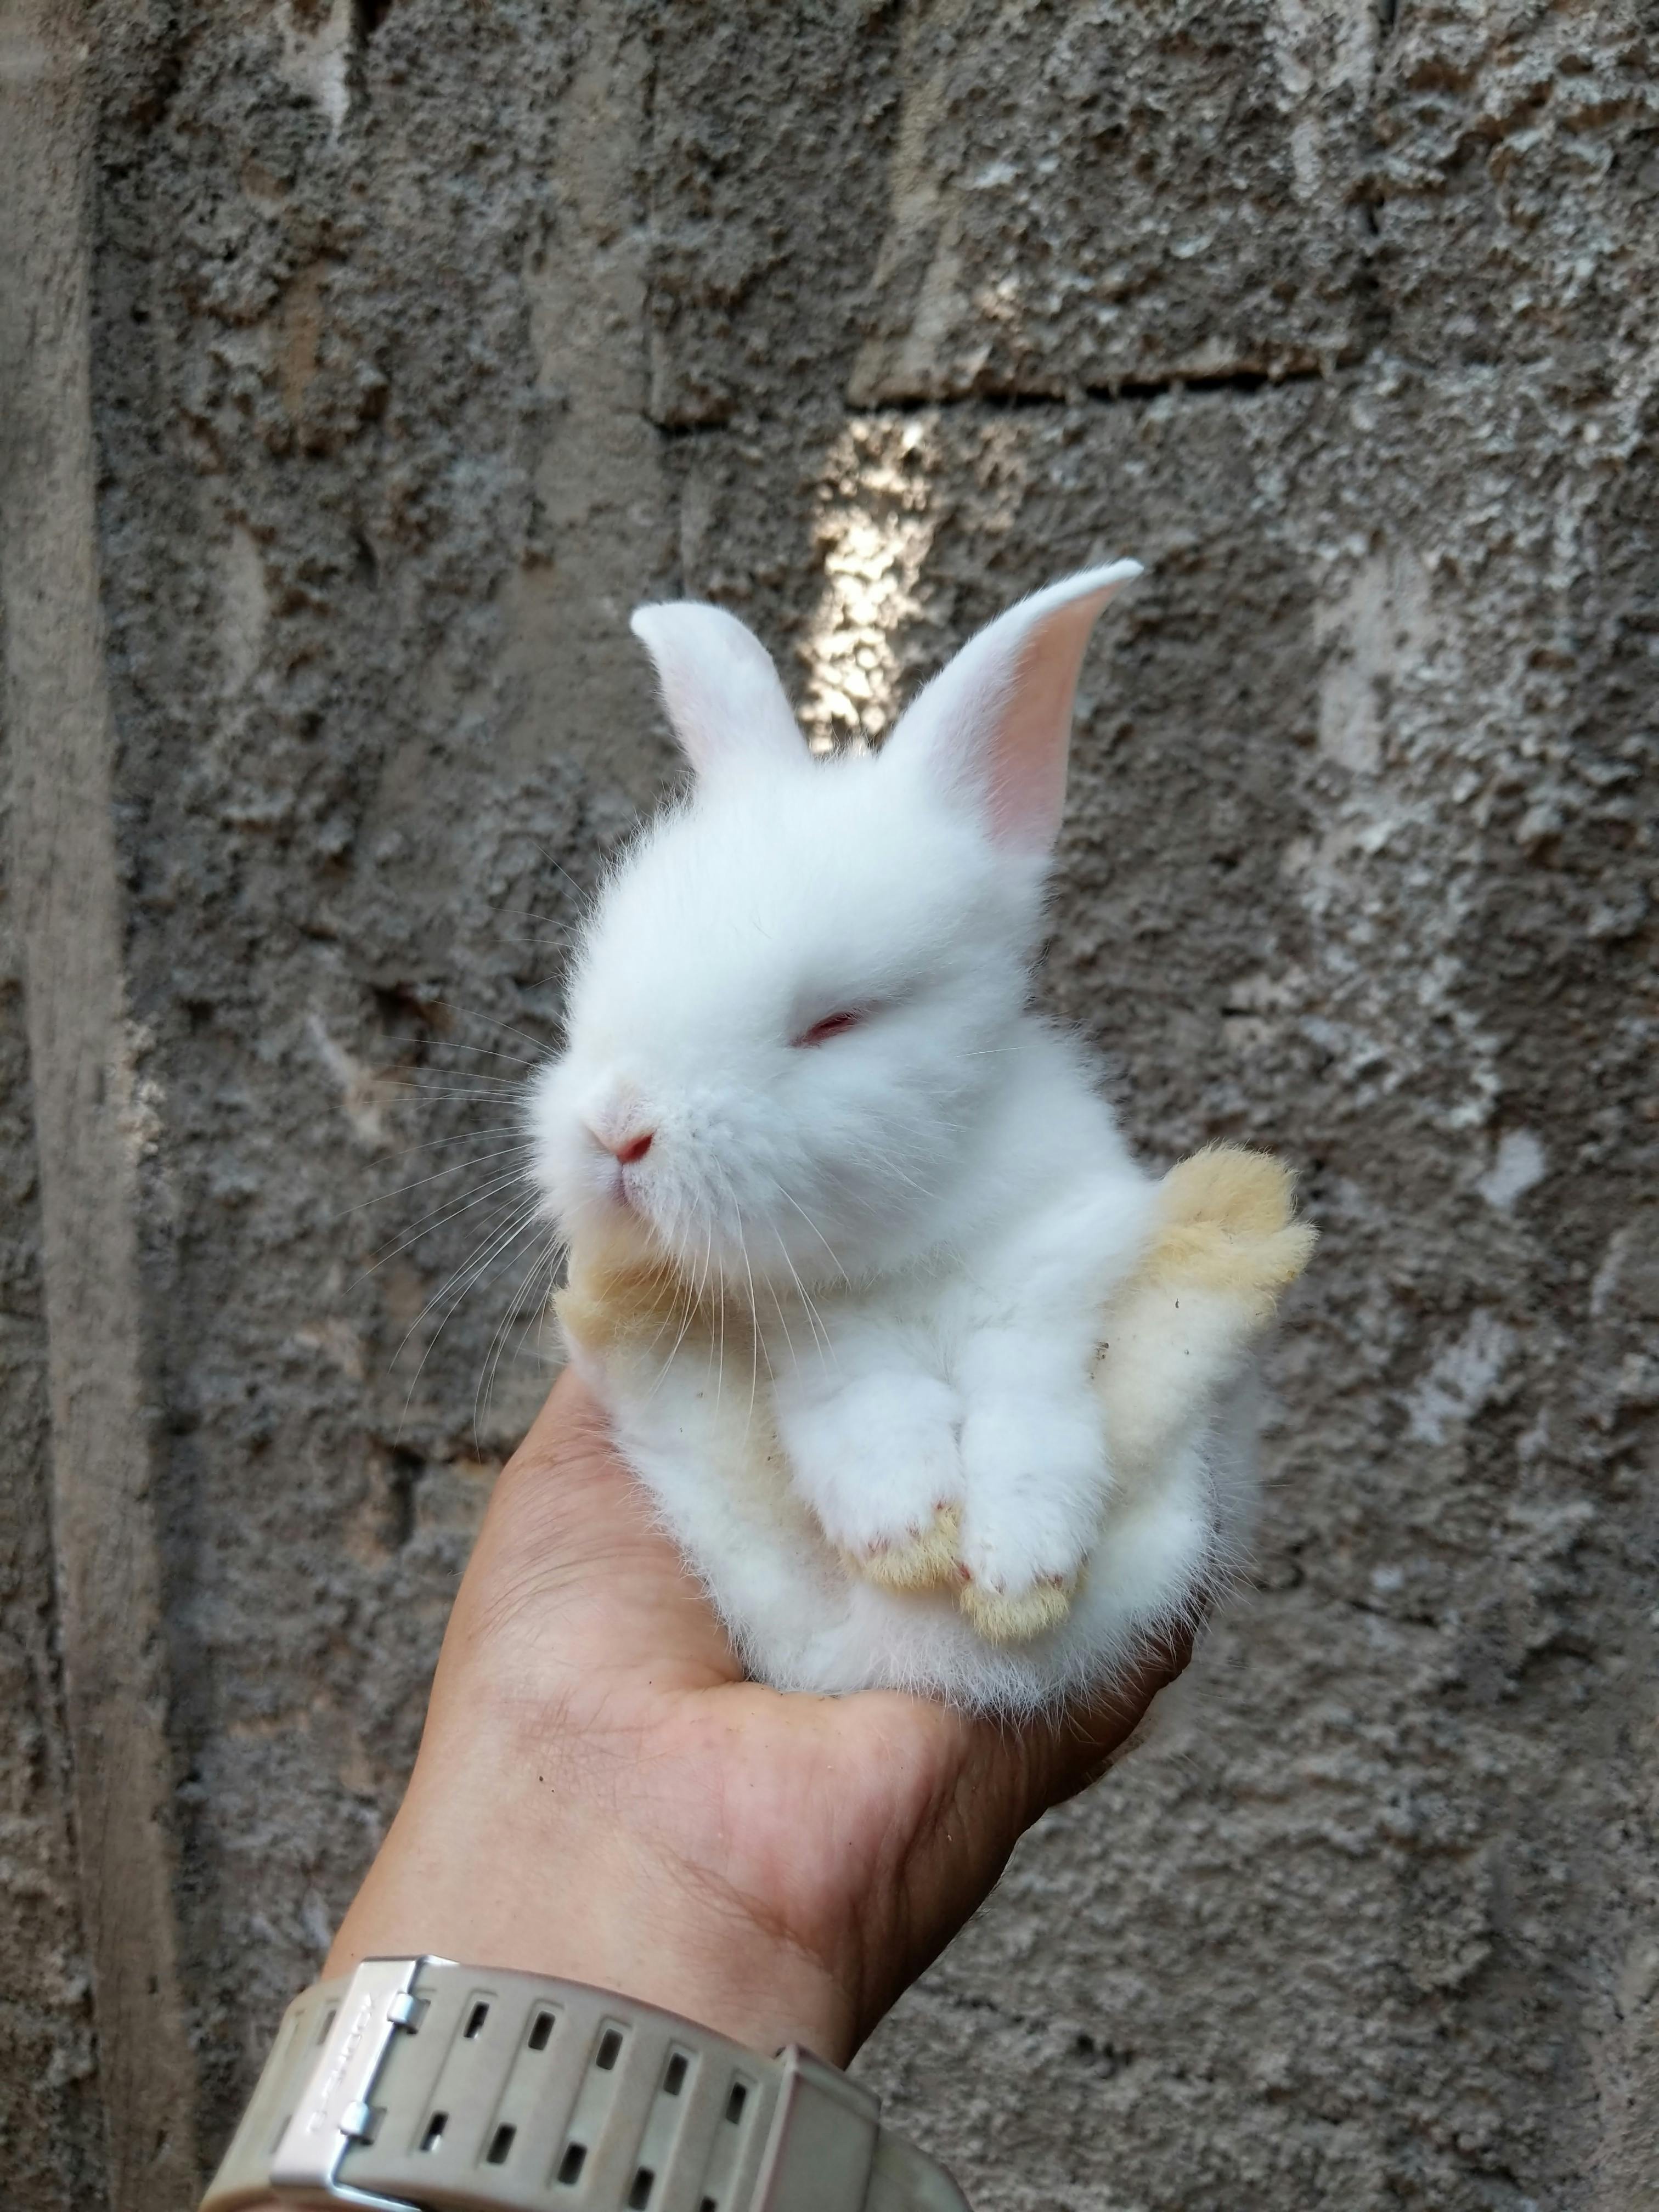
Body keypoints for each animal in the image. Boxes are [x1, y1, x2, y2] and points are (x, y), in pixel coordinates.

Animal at [533, 566, 1309, 1707]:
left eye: (834, 1021)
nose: (617, 1133)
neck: (902, 1228)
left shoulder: (1061, 1255)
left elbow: (1023, 1389)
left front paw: (1020, 1565)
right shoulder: (810, 1323)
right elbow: (858, 1393)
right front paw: (902, 1527)